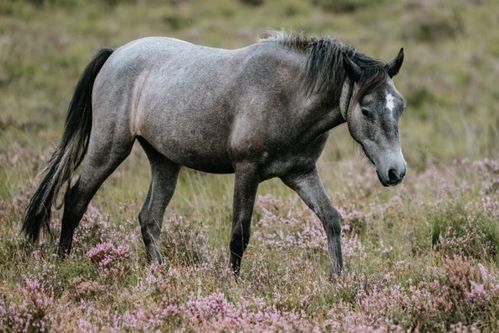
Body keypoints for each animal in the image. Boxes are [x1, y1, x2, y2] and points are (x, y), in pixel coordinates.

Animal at [21, 31, 408, 274]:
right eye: (366, 111)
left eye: (400, 106)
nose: (396, 172)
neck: (288, 95)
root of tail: (115, 53)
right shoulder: (247, 171)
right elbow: (240, 234)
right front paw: (234, 286)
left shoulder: (300, 173)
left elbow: (331, 220)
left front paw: (339, 281)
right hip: (109, 148)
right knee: (76, 199)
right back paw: (63, 264)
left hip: (164, 161)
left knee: (149, 218)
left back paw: (160, 275)